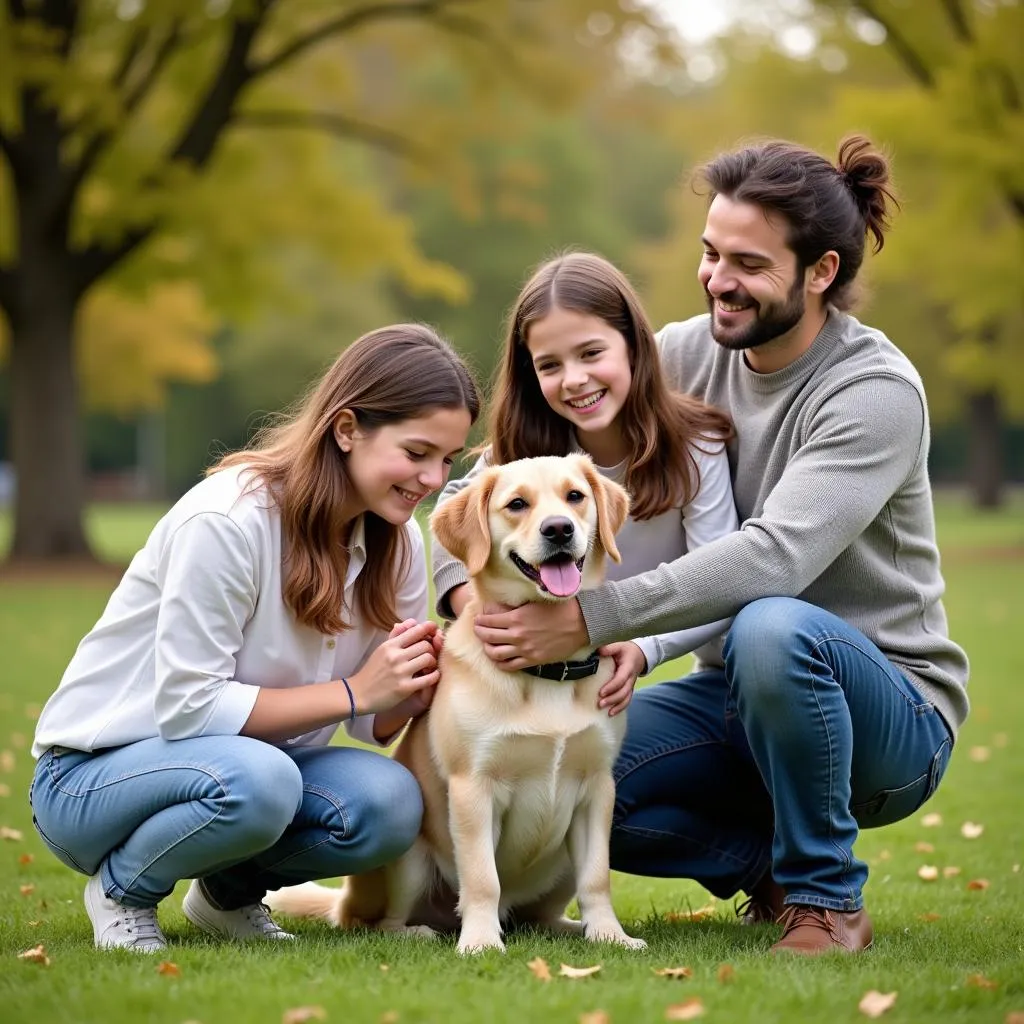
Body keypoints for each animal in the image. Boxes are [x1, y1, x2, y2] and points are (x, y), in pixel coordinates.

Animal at [268, 456, 643, 950]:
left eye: (575, 496)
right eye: (517, 504)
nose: (559, 529)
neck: (546, 668)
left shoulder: (597, 788)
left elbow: (597, 878)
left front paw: (609, 936)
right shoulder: (473, 788)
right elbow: (482, 878)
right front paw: (481, 942)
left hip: (560, 861)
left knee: (539, 915)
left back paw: (568, 928)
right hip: (410, 859)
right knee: (378, 924)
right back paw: (421, 932)